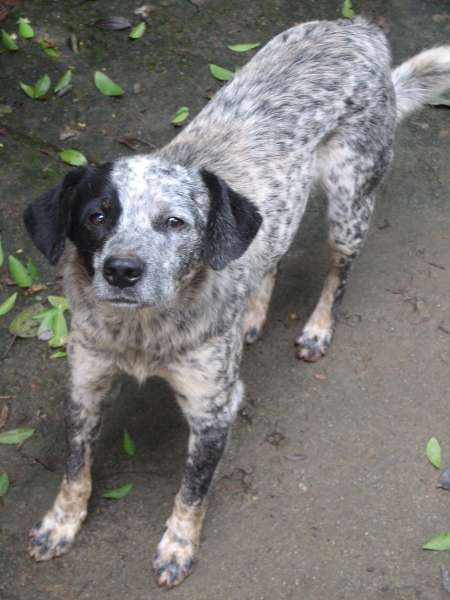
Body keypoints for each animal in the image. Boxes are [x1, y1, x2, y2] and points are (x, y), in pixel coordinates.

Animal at [23, 16, 450, 588]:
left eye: (174, 222)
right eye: (97, 216)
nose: (121, 271)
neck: (142, 334)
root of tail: (357, 28)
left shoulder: (214, 409)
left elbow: (192, 491)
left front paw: (178, 546)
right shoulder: (84, 386)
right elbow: (75, 470)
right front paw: (60, 524)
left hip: (348, 204)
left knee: (338, 272)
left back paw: (318, 327)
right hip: (284, 205)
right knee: (270, 255)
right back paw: (251, 314)